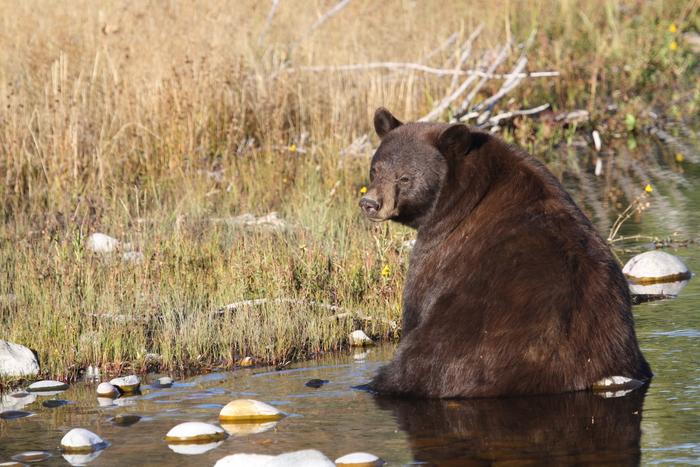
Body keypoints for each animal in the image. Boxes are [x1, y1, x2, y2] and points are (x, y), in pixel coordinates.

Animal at [359, 107, 652, 398]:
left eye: (405, 177)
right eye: (375, 170)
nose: (370, 203)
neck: (461, 196)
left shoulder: (438, 249)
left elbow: (415, 303)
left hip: (458, 348)